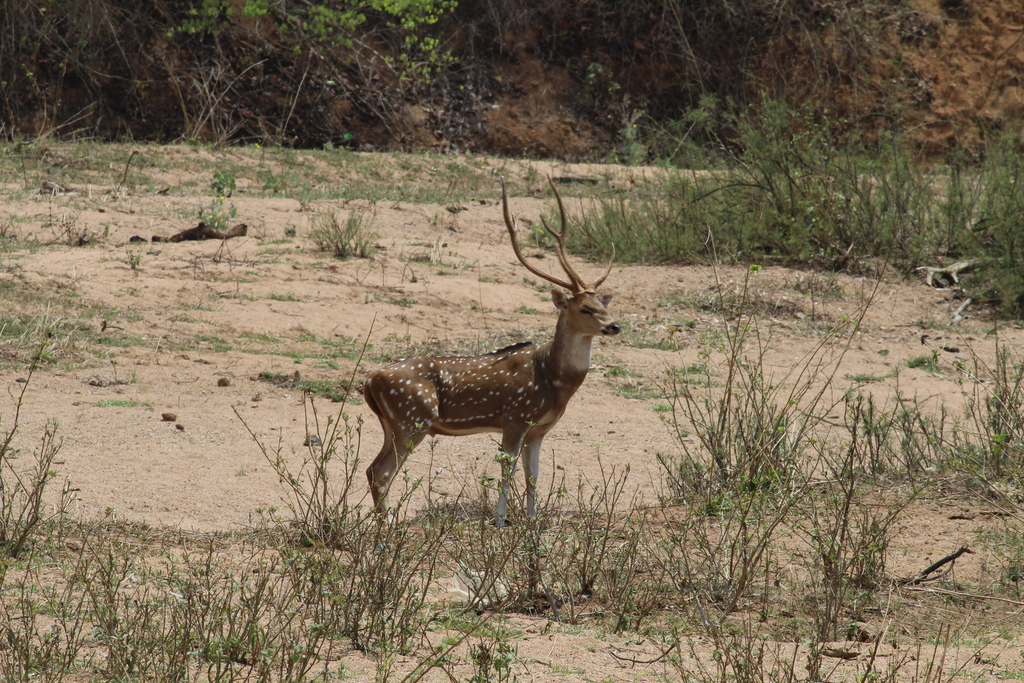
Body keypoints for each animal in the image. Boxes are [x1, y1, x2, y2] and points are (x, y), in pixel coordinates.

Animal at [363, 178, 620, 524]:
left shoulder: (539, 429)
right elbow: (506, 470)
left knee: (371, 468)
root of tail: (370, 380)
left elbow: (533, 474)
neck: (553, 378)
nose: (615, 326)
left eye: (602, 304)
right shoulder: (515, 417)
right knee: (382, 472)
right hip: (412, 418)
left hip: (391, 423)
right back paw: (390, 524)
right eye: (584, 308)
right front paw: (500, 520)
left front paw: (533, 520)